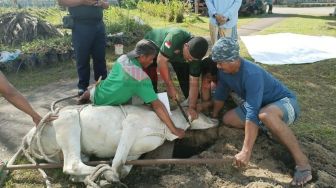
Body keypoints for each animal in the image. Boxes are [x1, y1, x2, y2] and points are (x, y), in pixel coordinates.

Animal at [24, 104, 218, 184]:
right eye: (204, 113)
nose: (217, 119)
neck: (164, 126)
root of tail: (29, 136)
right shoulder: (131, 124)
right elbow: (117, 164)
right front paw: (110, 175)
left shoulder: (135, 152)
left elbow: (123, 169)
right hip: (68, 119)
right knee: (72, 165)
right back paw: (102, 171)